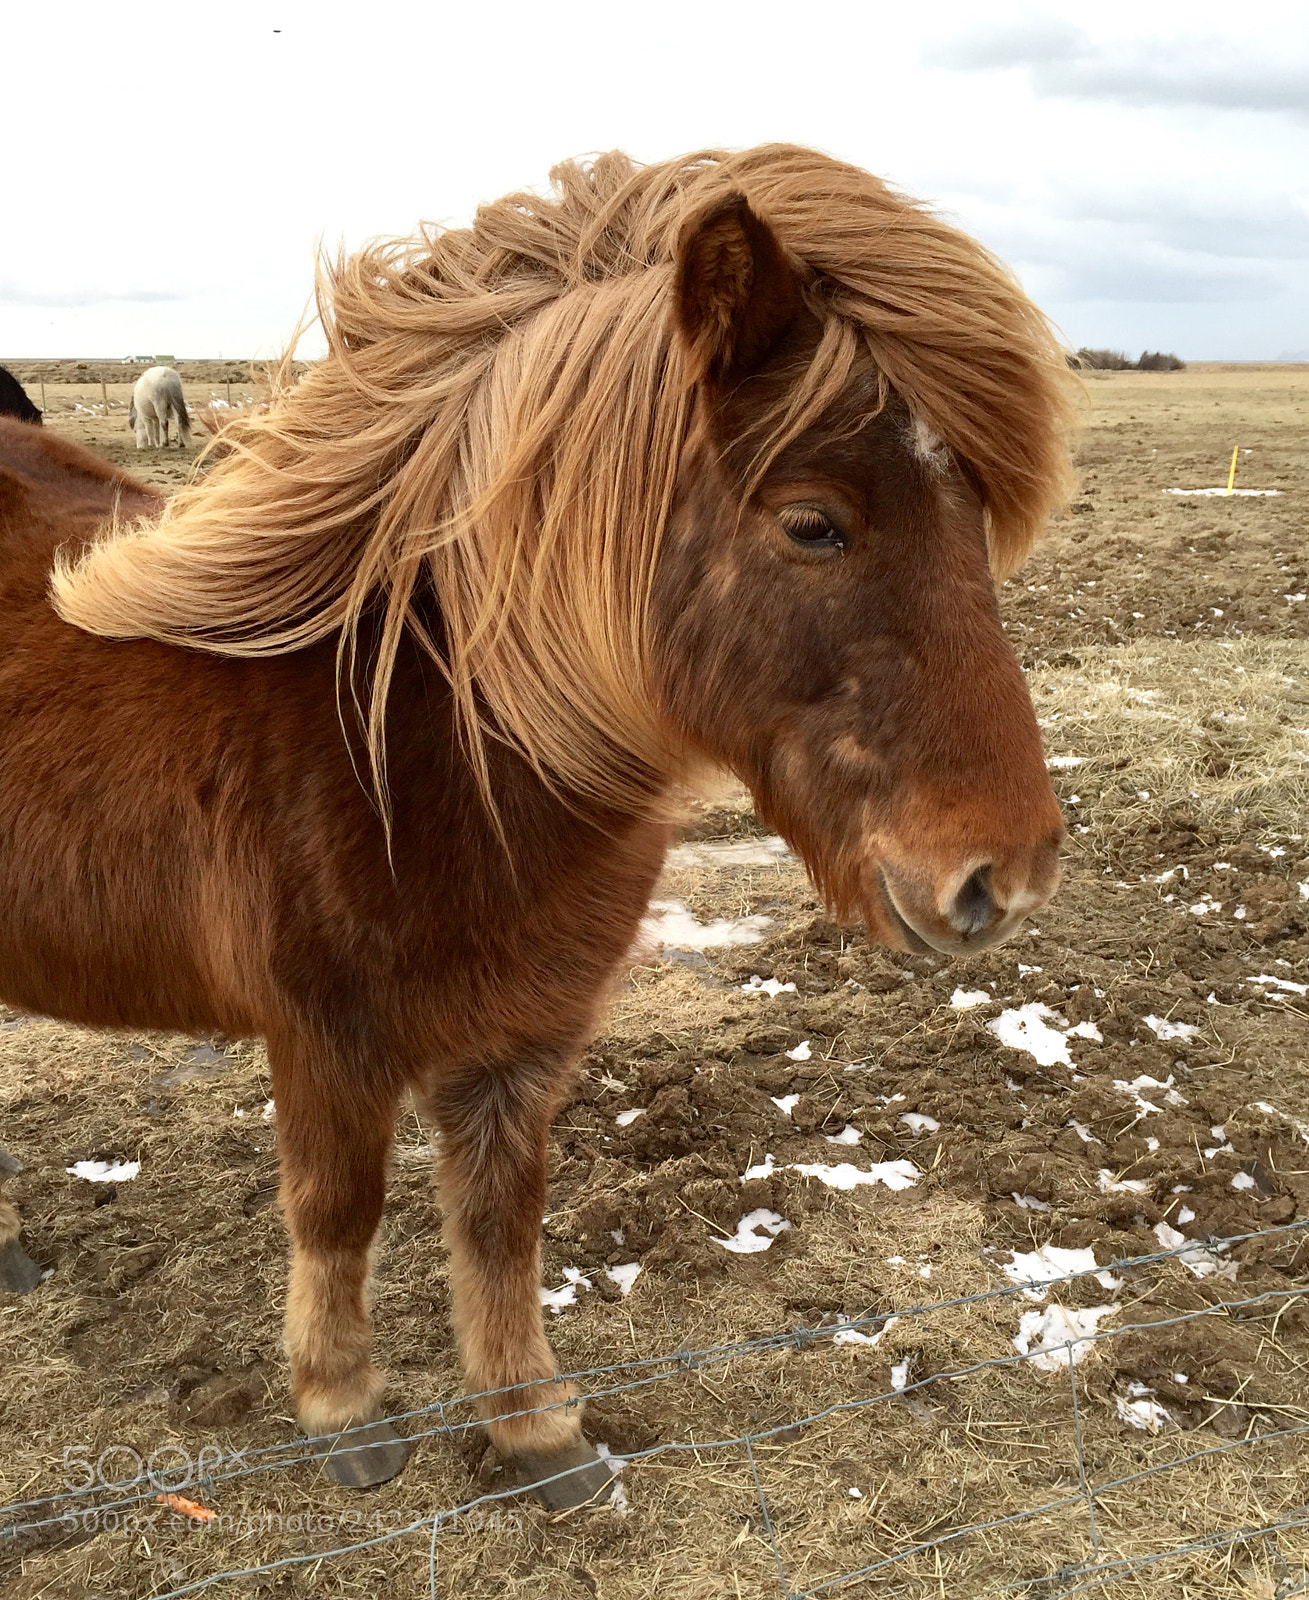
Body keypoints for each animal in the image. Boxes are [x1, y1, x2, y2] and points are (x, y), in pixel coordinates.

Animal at [0, 145, 1075, 1507]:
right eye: (812, 522)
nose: (1006, 872)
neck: (428, 744)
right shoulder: (324, 1037)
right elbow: (337, 1210)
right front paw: (344, 1408)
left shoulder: (527, 1032)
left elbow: (501, 1218)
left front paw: (535, 1430)